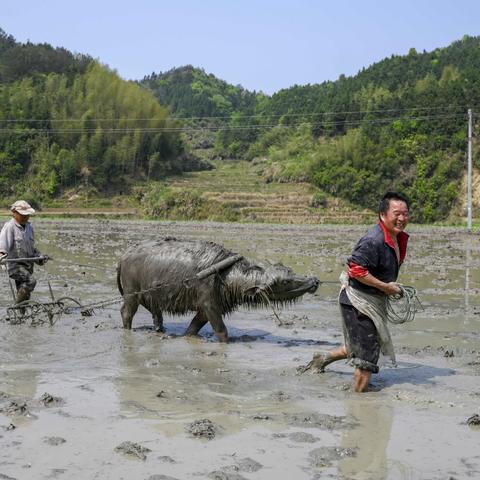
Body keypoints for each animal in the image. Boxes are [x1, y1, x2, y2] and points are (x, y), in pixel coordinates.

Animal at [116, 236, 318, 342]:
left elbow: (193, 327)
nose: (314, 281)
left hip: (149, 295)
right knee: (126, 312)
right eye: (283, 282)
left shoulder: (207, 309)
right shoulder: (210, 306)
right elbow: (222, 331)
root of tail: (124, 255)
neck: (226, 275)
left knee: (156, 313)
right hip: (131, 294)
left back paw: (159, 329)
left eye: (290, 271)